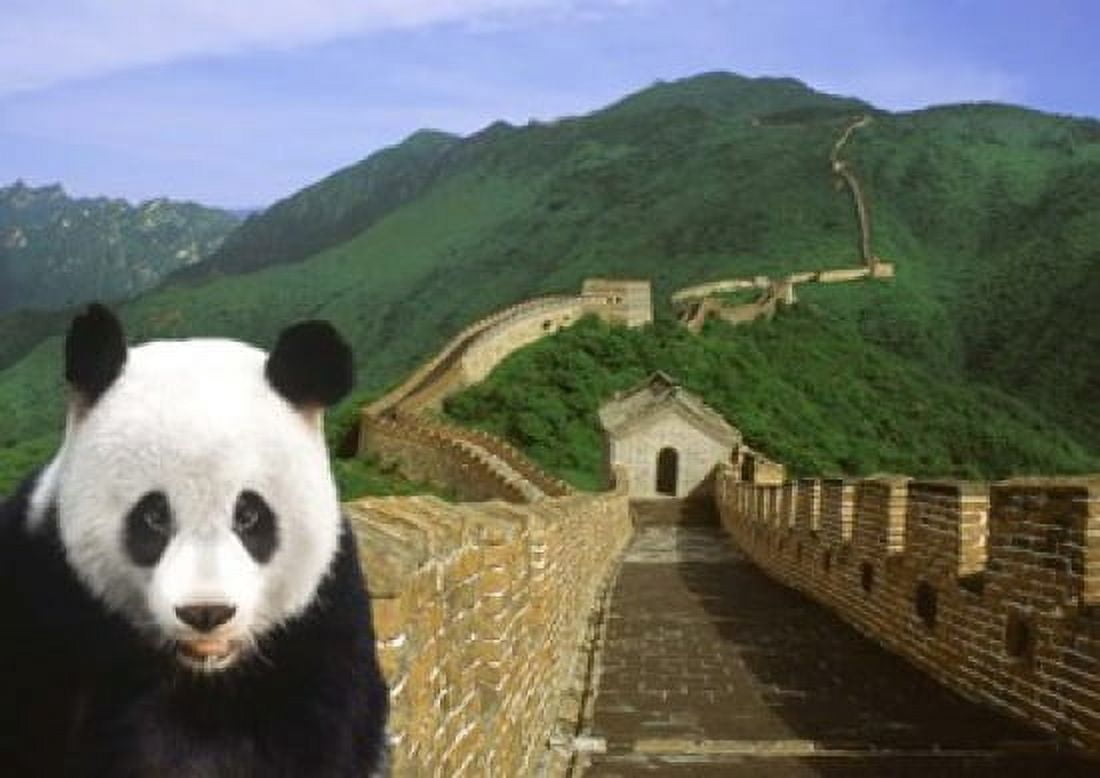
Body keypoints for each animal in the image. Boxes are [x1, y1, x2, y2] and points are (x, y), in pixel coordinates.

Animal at [0, 304, 388, 777]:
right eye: (153, 515)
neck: (202, 672)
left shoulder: (322, 620)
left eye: (248, 514)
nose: (206, 612)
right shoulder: (41, 595)